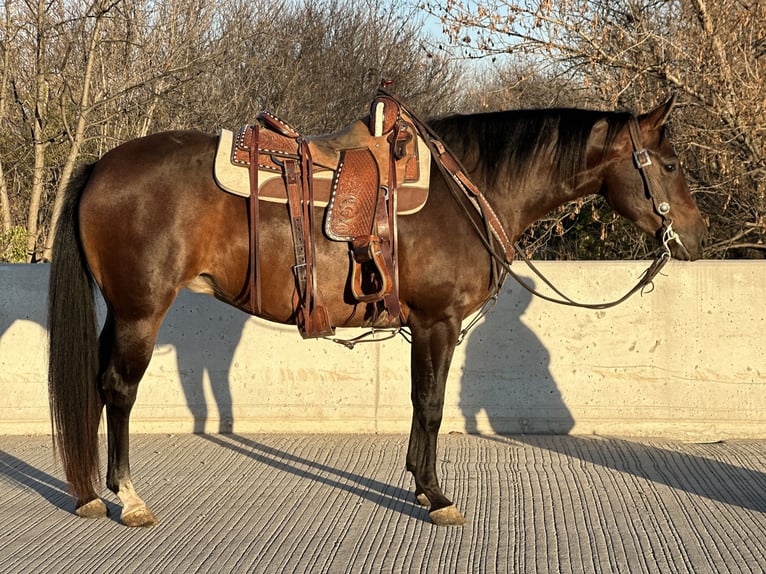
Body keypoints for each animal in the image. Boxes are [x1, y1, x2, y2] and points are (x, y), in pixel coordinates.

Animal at [46, 94, 708, 532]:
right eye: (670, 164)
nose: (698, 236)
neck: (469, 191)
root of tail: (101, 167)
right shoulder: (438, 323)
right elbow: (432, 405)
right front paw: (437, 496)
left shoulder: (426, 326)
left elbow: (421, 404)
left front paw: (419, 486)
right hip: (140, 311)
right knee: (119, 390)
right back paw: (129, 499)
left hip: (121, 312)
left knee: (99, 386)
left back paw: (90, 493)